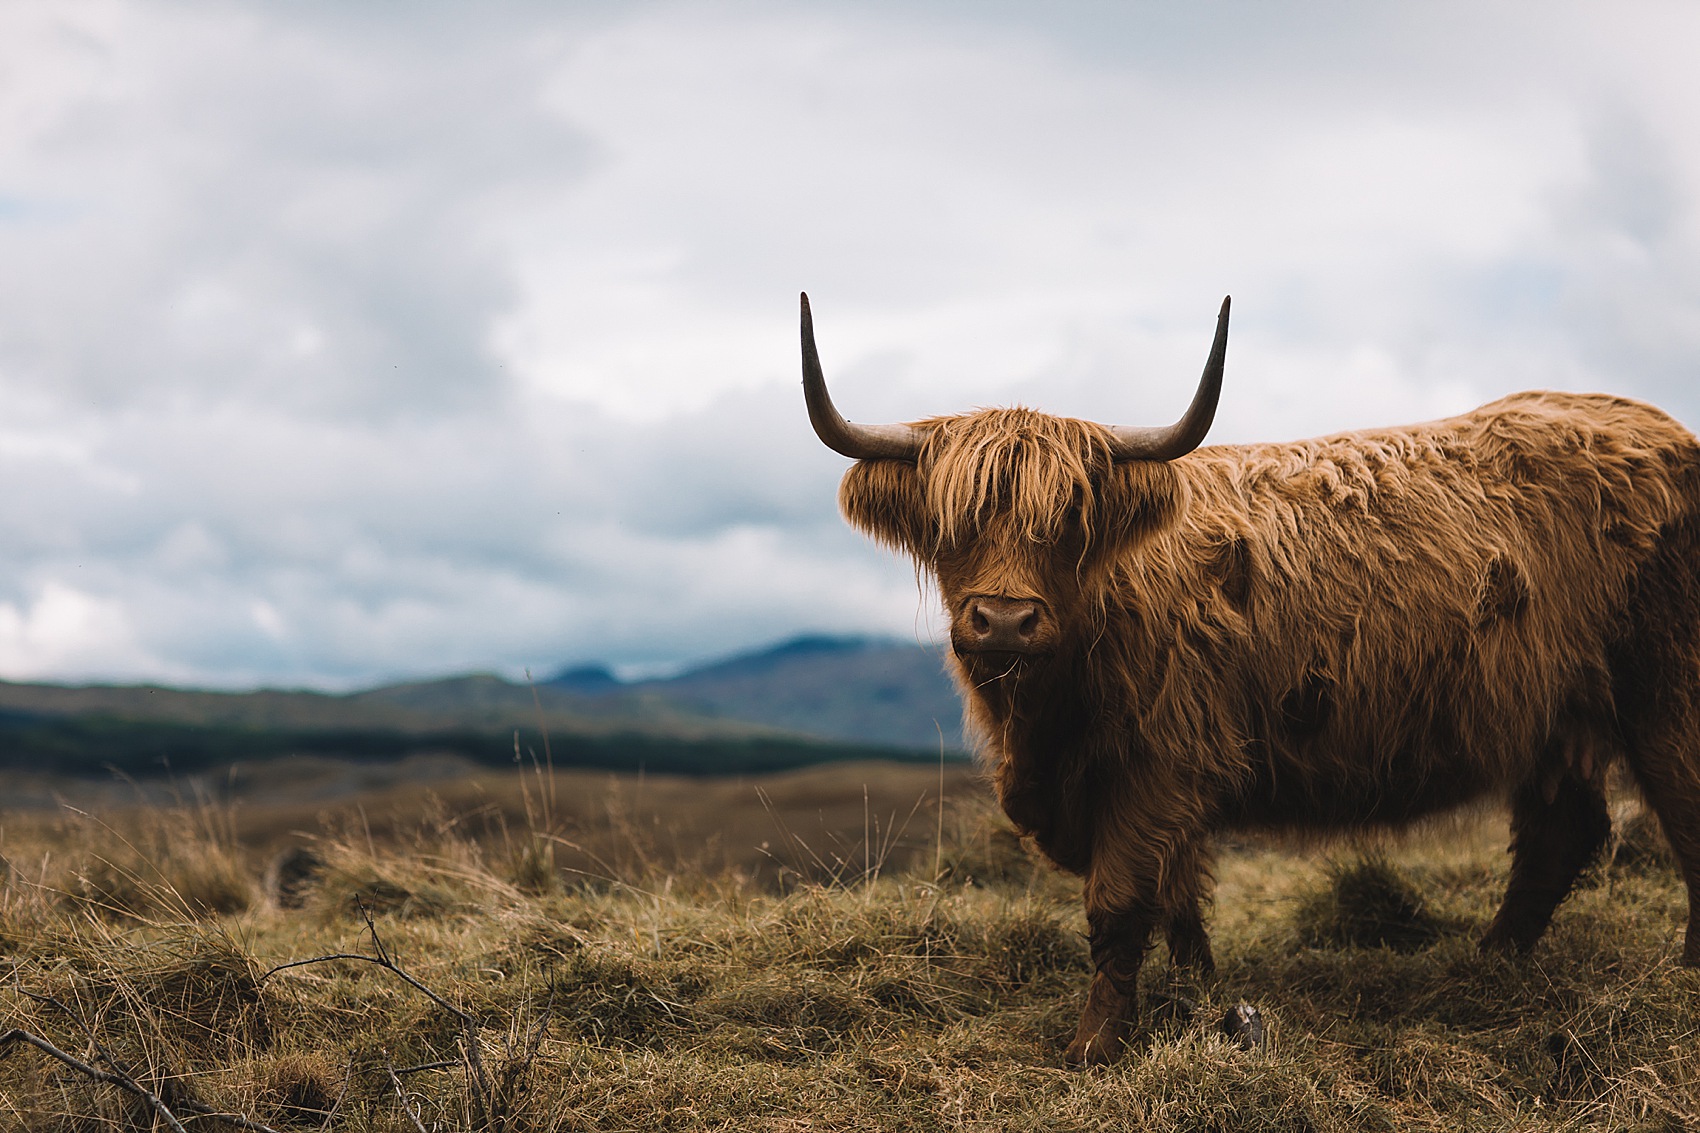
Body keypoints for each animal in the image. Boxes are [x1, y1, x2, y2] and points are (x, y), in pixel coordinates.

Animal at [802, 289, 1700, 1061]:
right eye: (951, 522)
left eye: (1072, 521)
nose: (1003, 620)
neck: (1043, 717)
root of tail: (1664, 432)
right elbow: (1178, 895)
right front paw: (1198, 993)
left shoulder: (1159, 763)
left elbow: (1120, 901)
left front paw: (1096, 1043)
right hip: (1555, 710)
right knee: (1561, 830)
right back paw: (1487, 961)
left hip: (1664, 687)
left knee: (1676, 806)